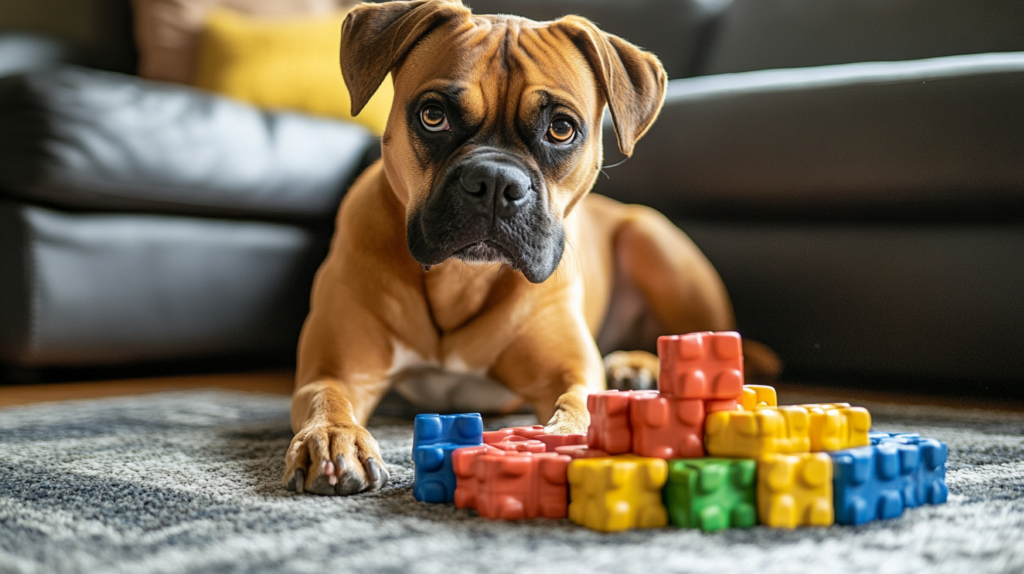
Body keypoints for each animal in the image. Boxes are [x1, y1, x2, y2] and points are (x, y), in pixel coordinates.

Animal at [280, 0, 774, 495]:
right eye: (433, 115)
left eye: (561, 129)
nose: (495, 182)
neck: (461, 279)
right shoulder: (338, 372)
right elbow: (326, 398)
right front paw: (334, 438)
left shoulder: (570, 371)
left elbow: (579, 404)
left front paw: (568, 438)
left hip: (653, 243)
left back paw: (637, 365)